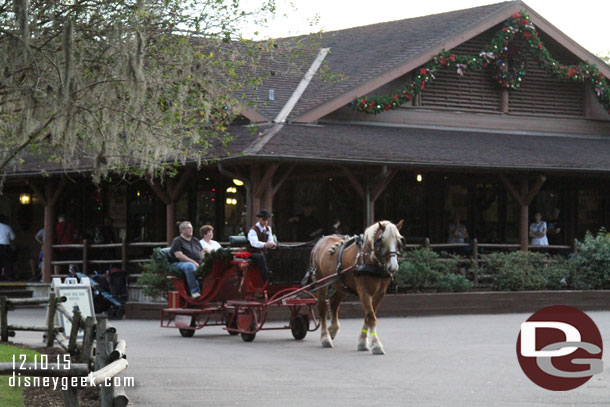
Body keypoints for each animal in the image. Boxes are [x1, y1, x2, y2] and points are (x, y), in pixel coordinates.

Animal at [308, 222, 404, 356]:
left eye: (399, 242)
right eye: (381, 240)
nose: (393, 267)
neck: (370, 259)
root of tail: (320, 241)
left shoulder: (380, 293)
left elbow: (369, 315)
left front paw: (363, 342)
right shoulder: (364, 291)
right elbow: (371, 317)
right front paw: (376, 344)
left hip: (343, 285)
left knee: (333, 302)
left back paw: (333, 329)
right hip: (320, 281)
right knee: (322, 307)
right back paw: (325, 337)